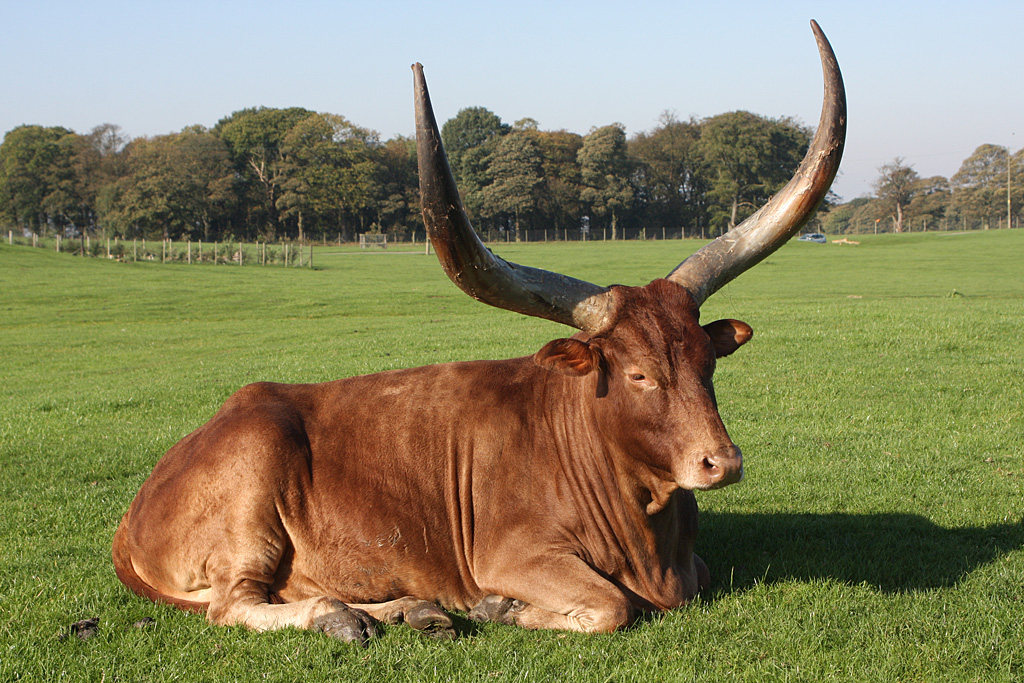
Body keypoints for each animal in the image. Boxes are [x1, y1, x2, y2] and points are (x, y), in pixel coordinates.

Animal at [112, 21, 845, 644]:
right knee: (235, 604)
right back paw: (339, 617)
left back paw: (411, 610)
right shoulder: (515, 554)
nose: (722, 462)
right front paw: (502, 607)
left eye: (706, 362)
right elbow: (613, 606)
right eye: (638, 372)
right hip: (251, 498)